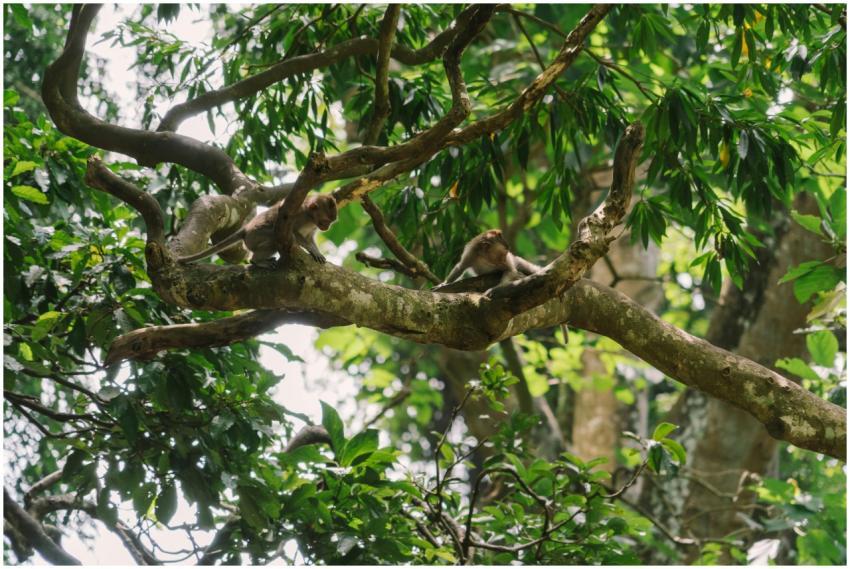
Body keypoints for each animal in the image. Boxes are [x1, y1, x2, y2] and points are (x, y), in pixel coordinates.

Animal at [178, 194, 338, 266]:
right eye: (325, 221)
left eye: (331, 221)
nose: (326, 227)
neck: (310, 216)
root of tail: (246, 229)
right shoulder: (299, 215)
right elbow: (295, 233)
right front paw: (312, 250)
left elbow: (309, 237)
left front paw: (316, 251)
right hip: (254, 237)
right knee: (272, 240)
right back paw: (257, 261)